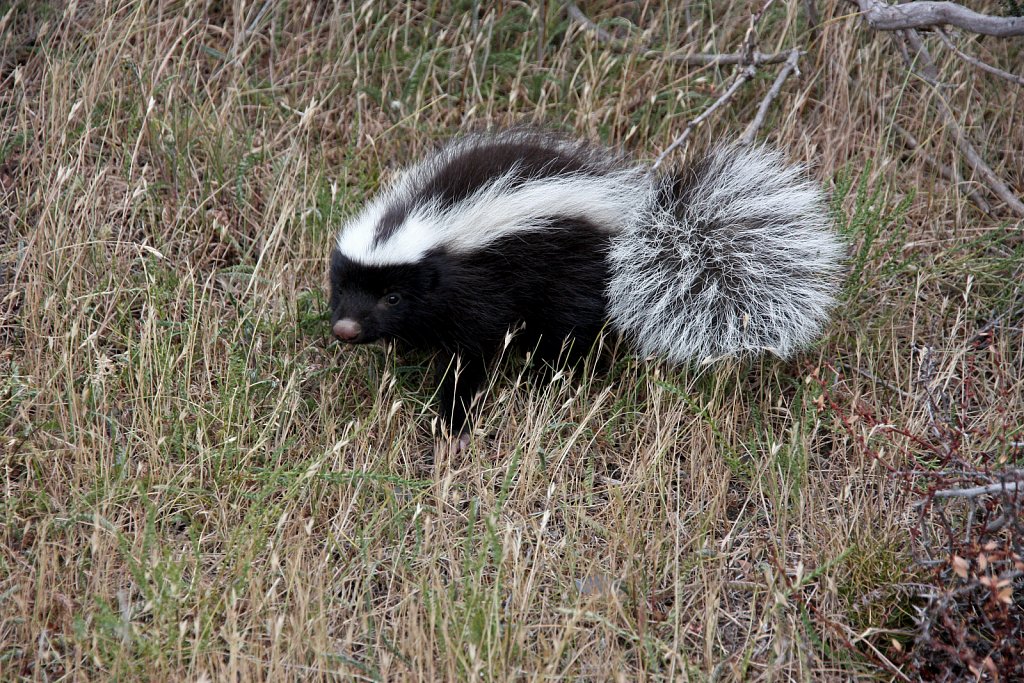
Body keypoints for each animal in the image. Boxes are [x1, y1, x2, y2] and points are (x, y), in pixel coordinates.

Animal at [327, 131, 839, 440]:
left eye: (392, 297)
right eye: (341, 292)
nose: (346, 330)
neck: (416, 225)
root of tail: (635, 220)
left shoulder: (478, 285)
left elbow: (469, 354)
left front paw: (454, 423)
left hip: (573, 273)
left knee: (570, 331)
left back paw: (560, 376)